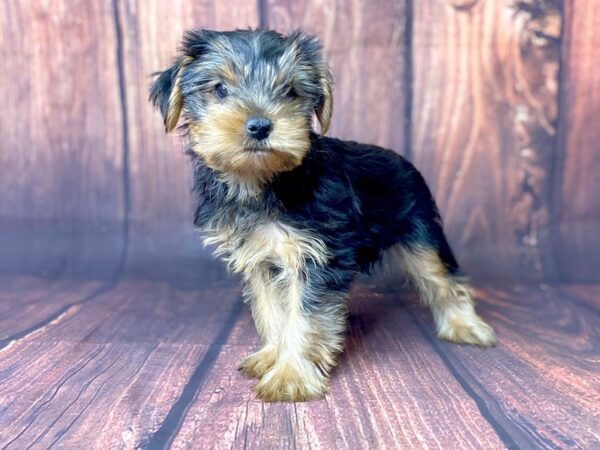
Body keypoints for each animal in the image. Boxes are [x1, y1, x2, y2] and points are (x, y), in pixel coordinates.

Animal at [150, 29, 496, 400]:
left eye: (290, 91)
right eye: (219, 89)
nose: (260, 126)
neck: (261, 180)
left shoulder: (319, 257)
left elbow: (305, 317)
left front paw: (290, 376)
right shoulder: (259, 259)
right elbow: (272, 309)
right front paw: (272, 355)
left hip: (420, 230)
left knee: (442, 278)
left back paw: (465, 327)